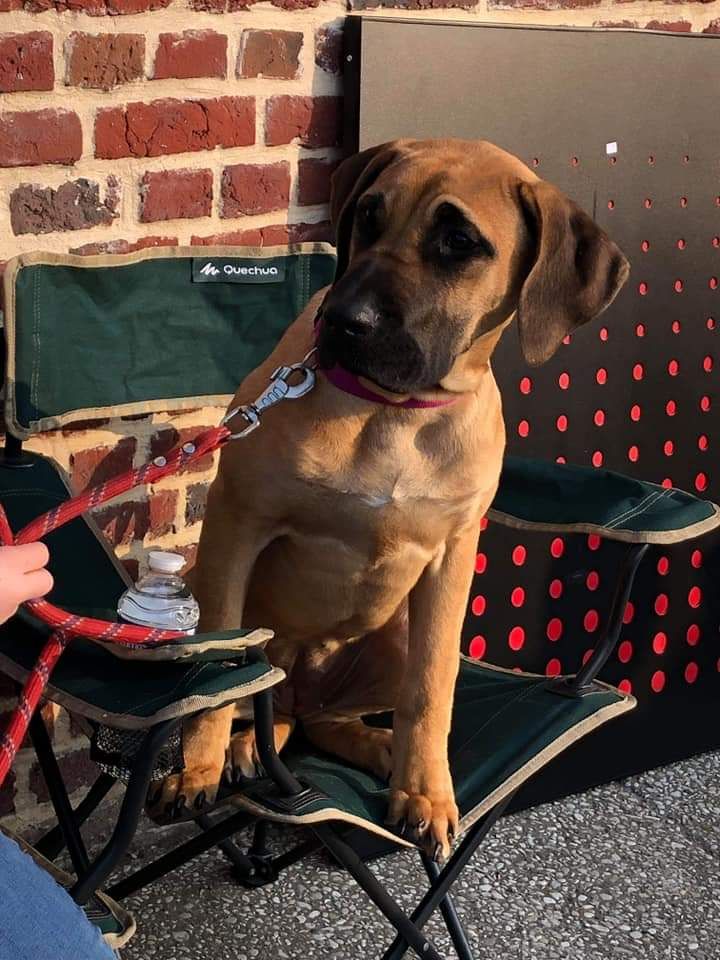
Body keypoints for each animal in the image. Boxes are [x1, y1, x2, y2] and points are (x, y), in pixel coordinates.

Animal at [152, 139, 629, 858]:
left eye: (460, 242)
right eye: (368, 216)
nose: (344, 321)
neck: (394, 413)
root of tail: (303, 684)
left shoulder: (454, 554)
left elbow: (432, 689)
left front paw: (425, 792)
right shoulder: (238, 519)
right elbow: (216, 662)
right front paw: (198, 768)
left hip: (392, 635)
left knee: (323, 718)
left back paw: (374, 746)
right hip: (267, 636)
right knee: (266, 701)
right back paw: (243, 746)